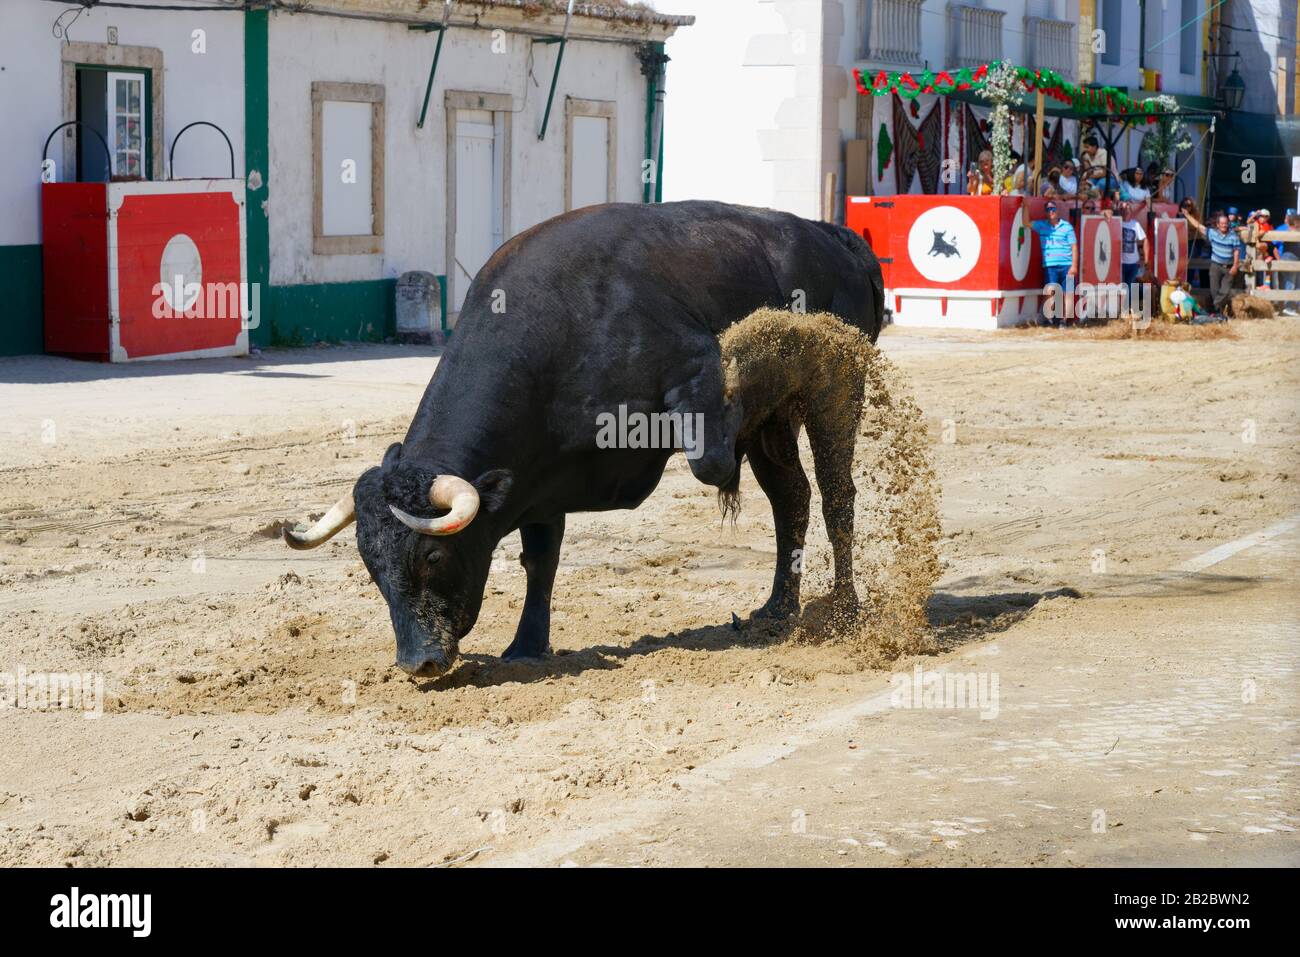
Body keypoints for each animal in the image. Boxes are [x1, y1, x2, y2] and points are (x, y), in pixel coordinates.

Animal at [284, 198, 889, 676]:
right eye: (371, 565)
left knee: (836, 496)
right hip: (778, 427)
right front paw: (527, 644)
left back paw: (844, 608)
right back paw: (778, 608)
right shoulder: (536, 476)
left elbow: (711, 459)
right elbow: (540, 560)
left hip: (838, 388)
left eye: (432, 556)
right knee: (792, 499)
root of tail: (833, 236)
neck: (567, 324)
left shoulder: (693, 369)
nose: (418, 663)